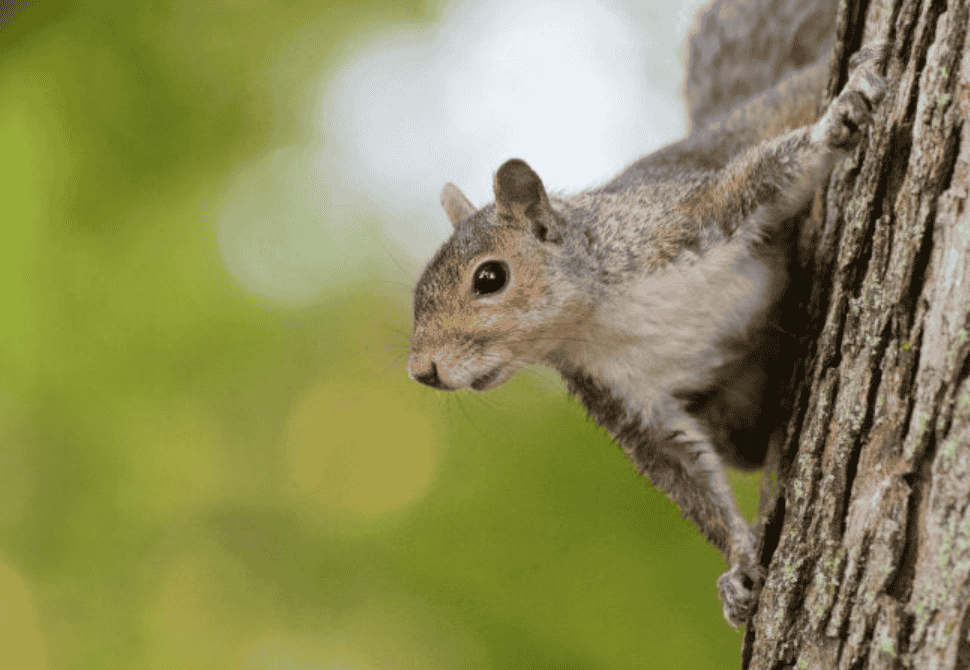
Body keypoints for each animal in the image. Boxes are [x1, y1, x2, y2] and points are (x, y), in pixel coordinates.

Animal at [406, 7, 888, 628]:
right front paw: (739, 567)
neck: (598, 315)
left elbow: (769, 171)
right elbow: (683, 472)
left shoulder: (686, 219)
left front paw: (839, 119)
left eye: (490, 278)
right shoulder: (623, 397)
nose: (423, 370)